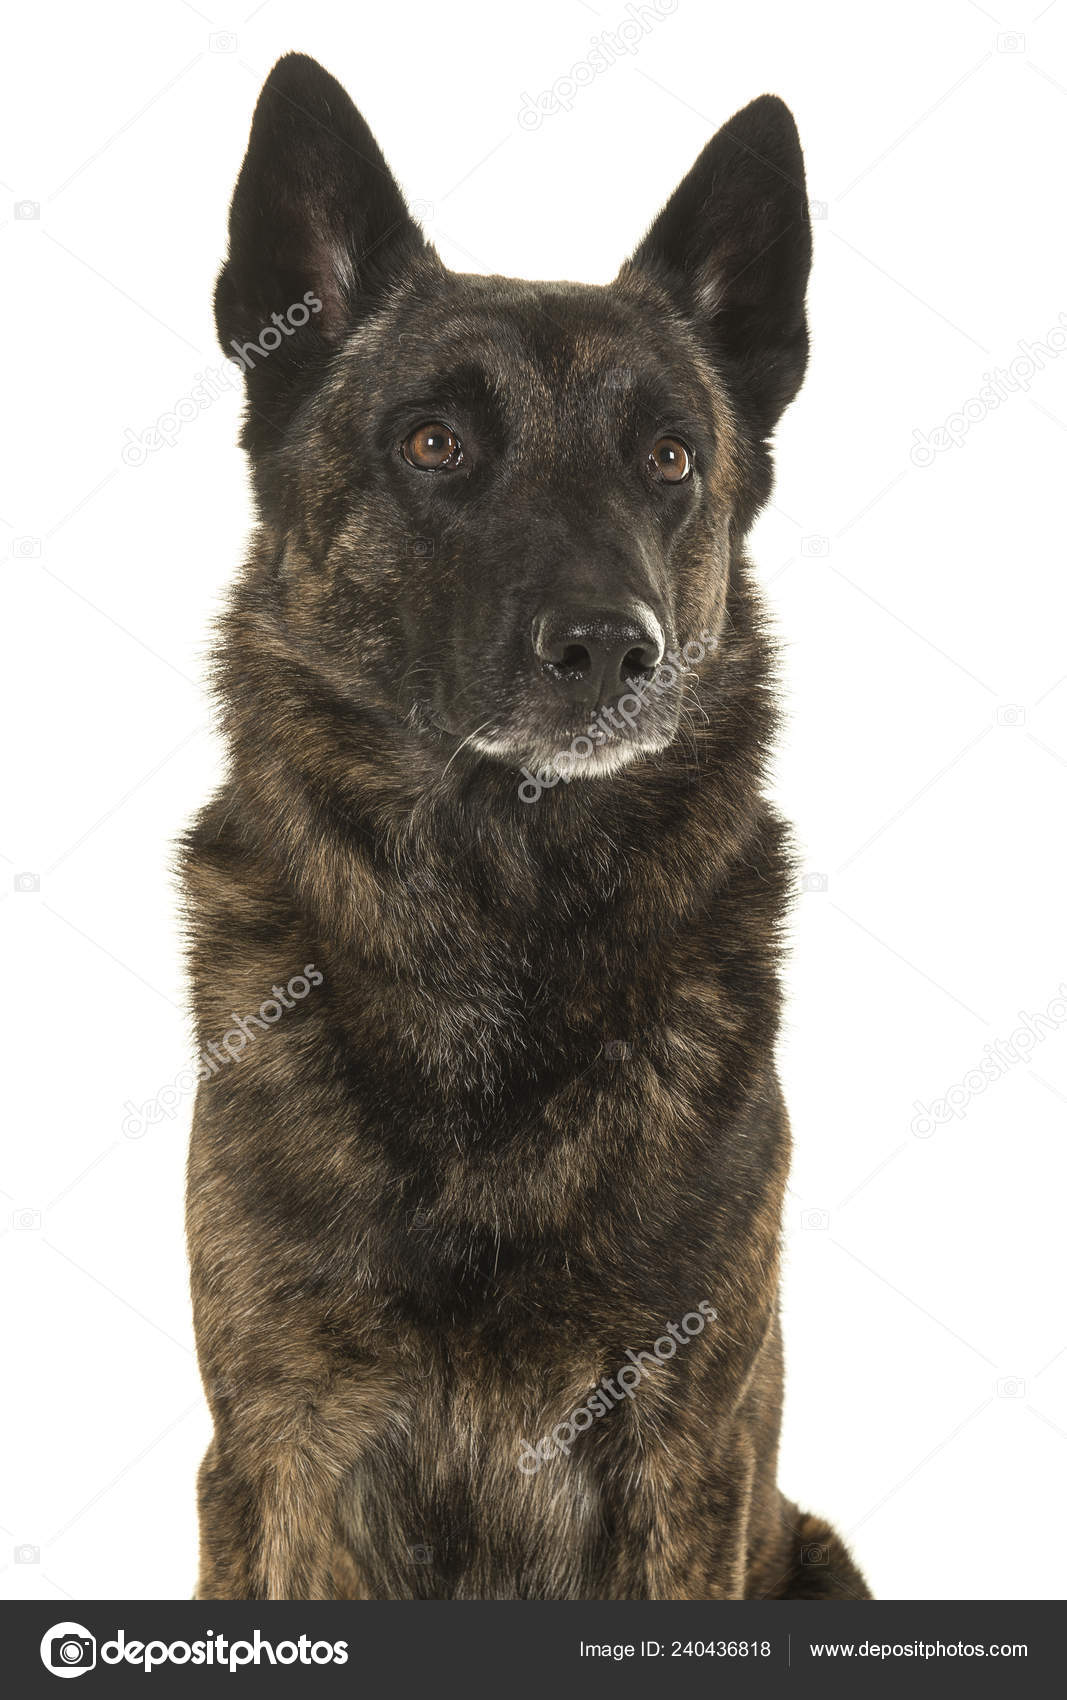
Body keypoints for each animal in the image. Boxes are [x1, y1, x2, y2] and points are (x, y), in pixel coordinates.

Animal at [182, 51, 870, 1601]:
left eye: (669, 457)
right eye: (433, 442)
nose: (612, 649)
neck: (494, 918)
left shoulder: (682, 1453)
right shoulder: (289, 1456)